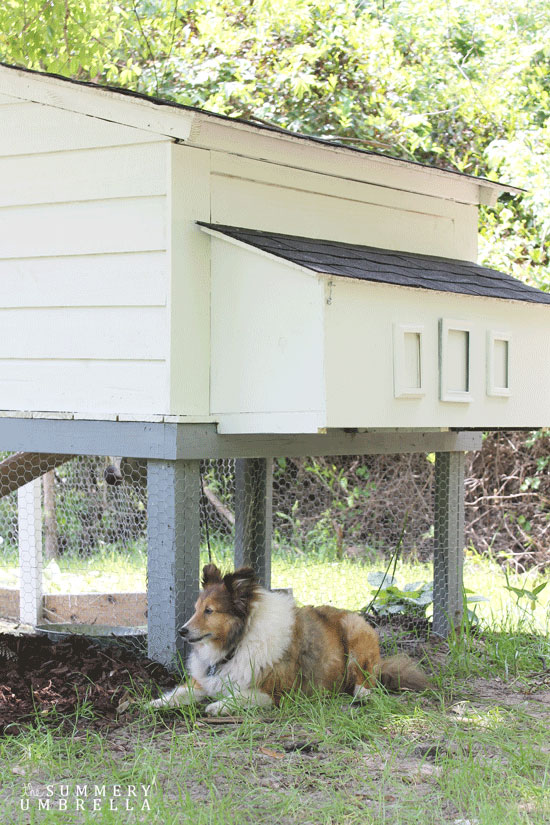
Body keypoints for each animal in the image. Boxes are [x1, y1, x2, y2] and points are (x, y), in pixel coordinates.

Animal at [152, 560, 432, 716]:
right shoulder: (204, 682)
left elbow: (242, 697)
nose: (182, 631)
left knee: (367, 679)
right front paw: (157, 702)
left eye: (209, 611)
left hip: (356, 634)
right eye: (196, 609)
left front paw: (218, 706)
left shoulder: (277, 693)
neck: (239, 642)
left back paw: (359, 693)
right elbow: (180, 692)